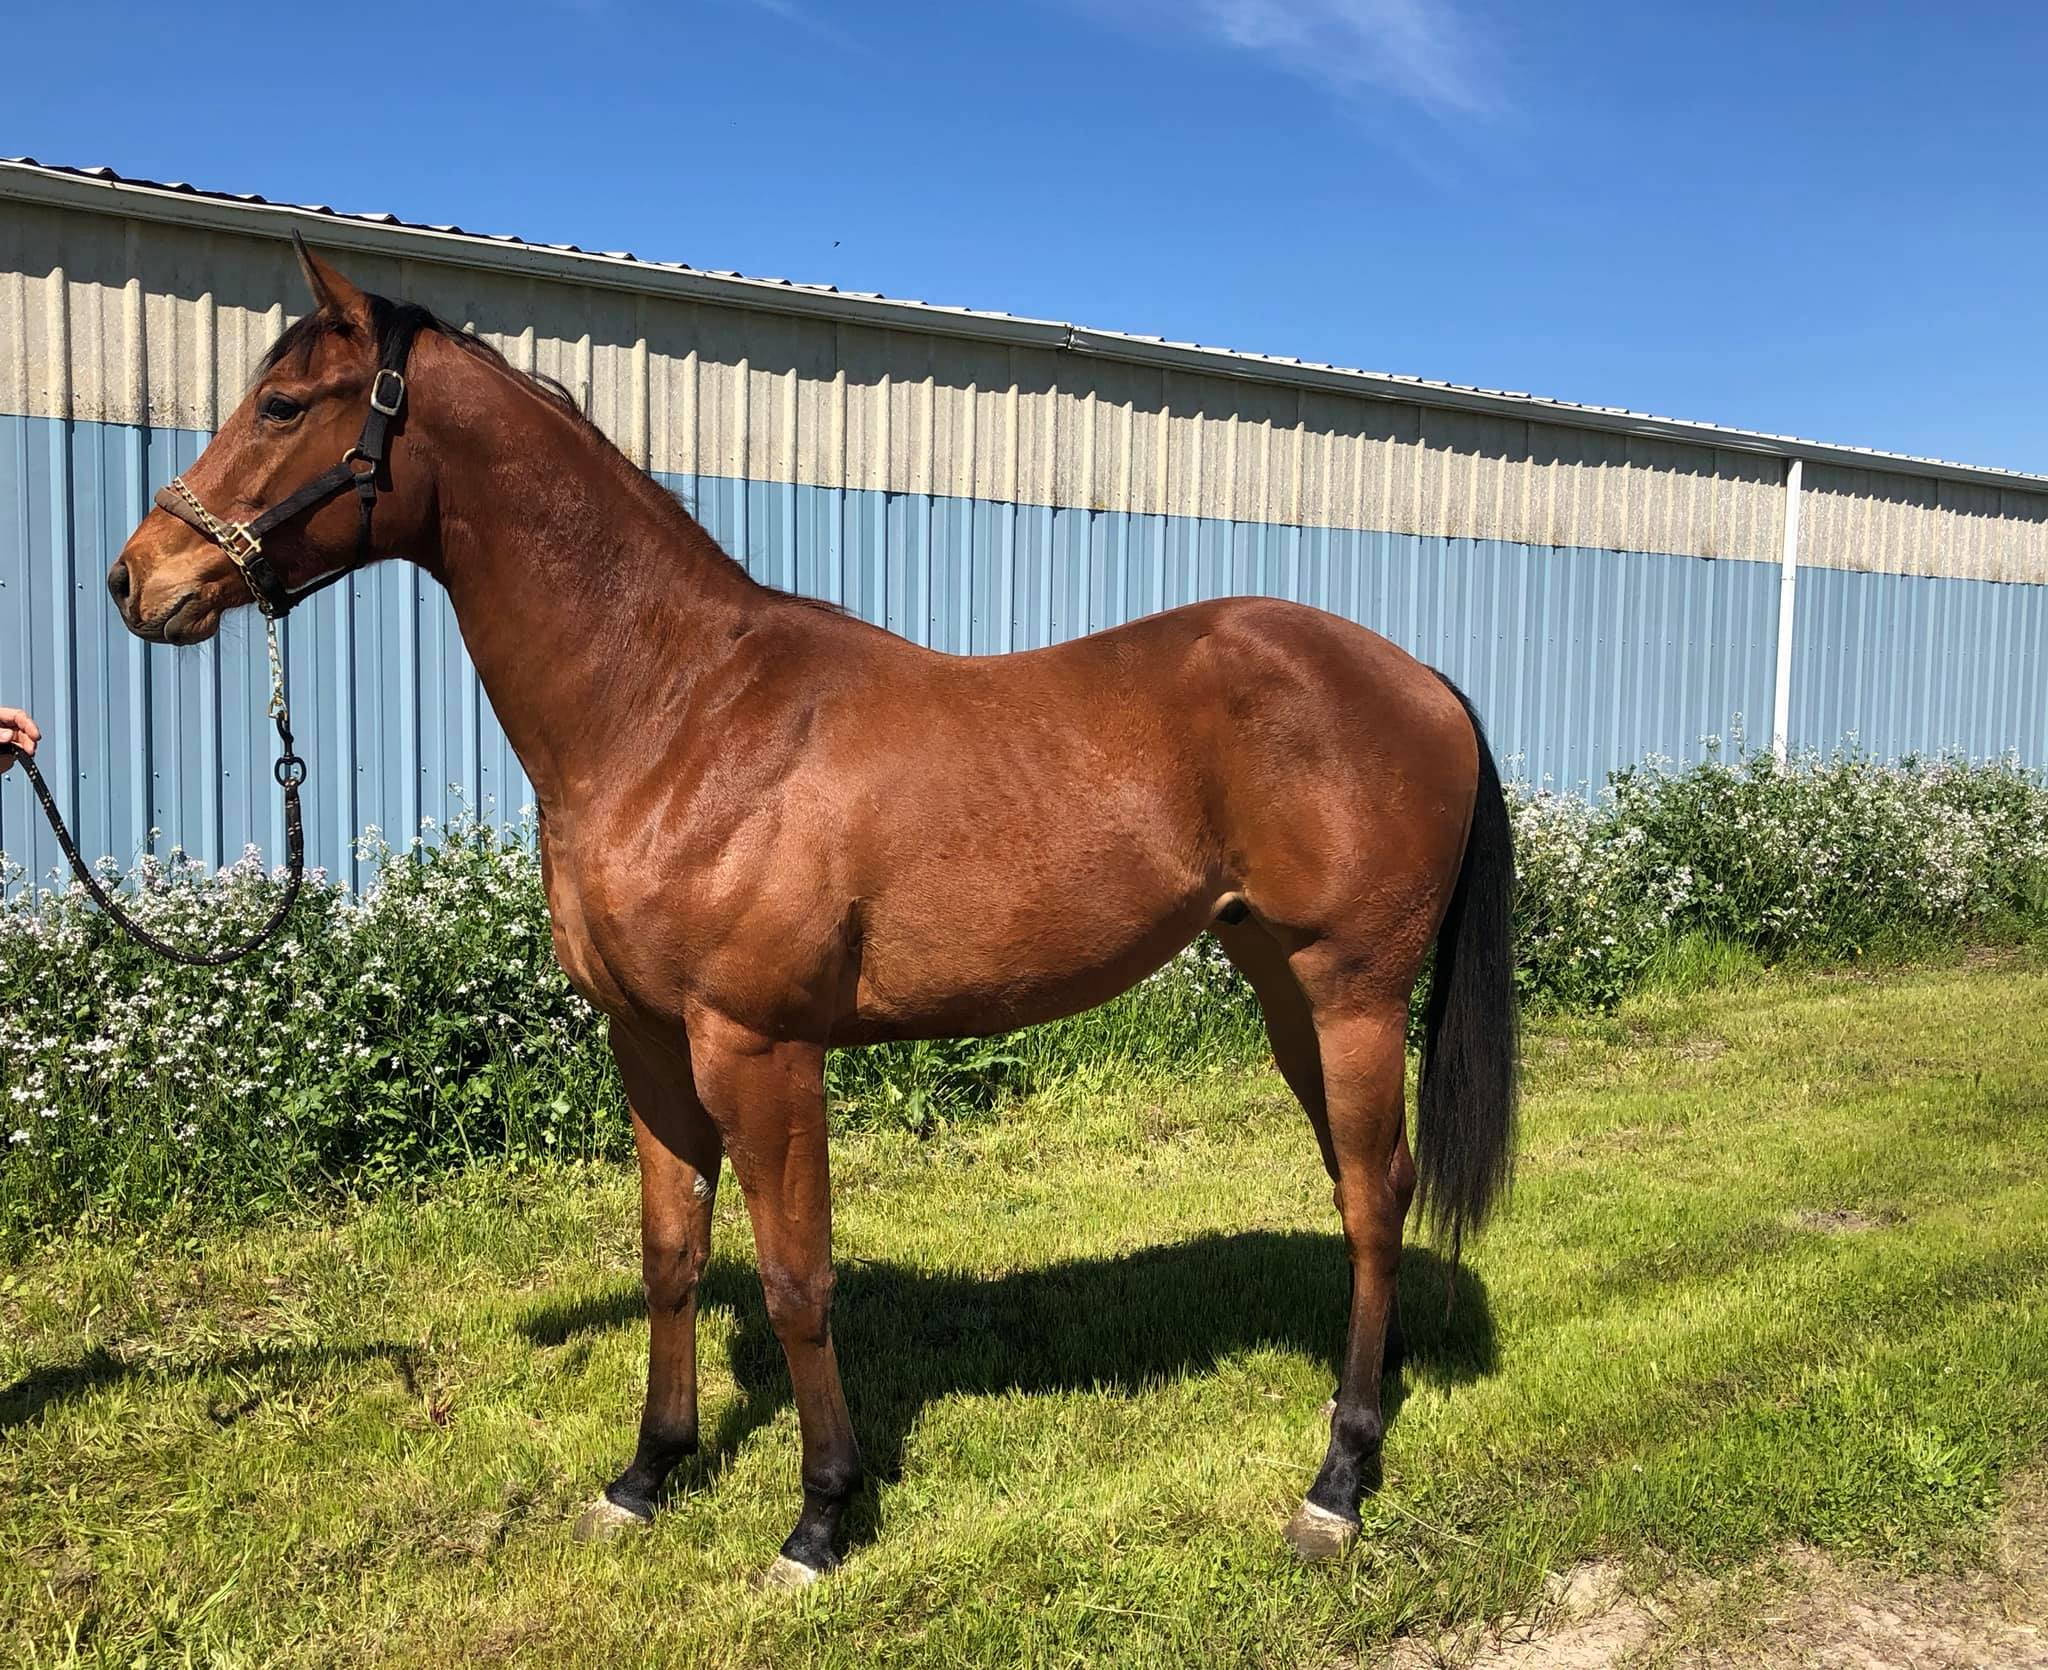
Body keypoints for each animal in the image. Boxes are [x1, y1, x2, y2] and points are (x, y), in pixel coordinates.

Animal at [107, 241, 1517, 1588]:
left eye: (284, 403)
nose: (136, 578)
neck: (677, 715)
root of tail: (1420, 677)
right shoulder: (647, 1042)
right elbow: (670, 1252)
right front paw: (646, 1474)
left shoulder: (759, 1048)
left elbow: (797, 1279)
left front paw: (821, 1516)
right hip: (1283, 985)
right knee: (1362, 1185)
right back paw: (1365, 1400)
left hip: (1349, 990)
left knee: (1373, 1193)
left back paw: (1337, 1480)